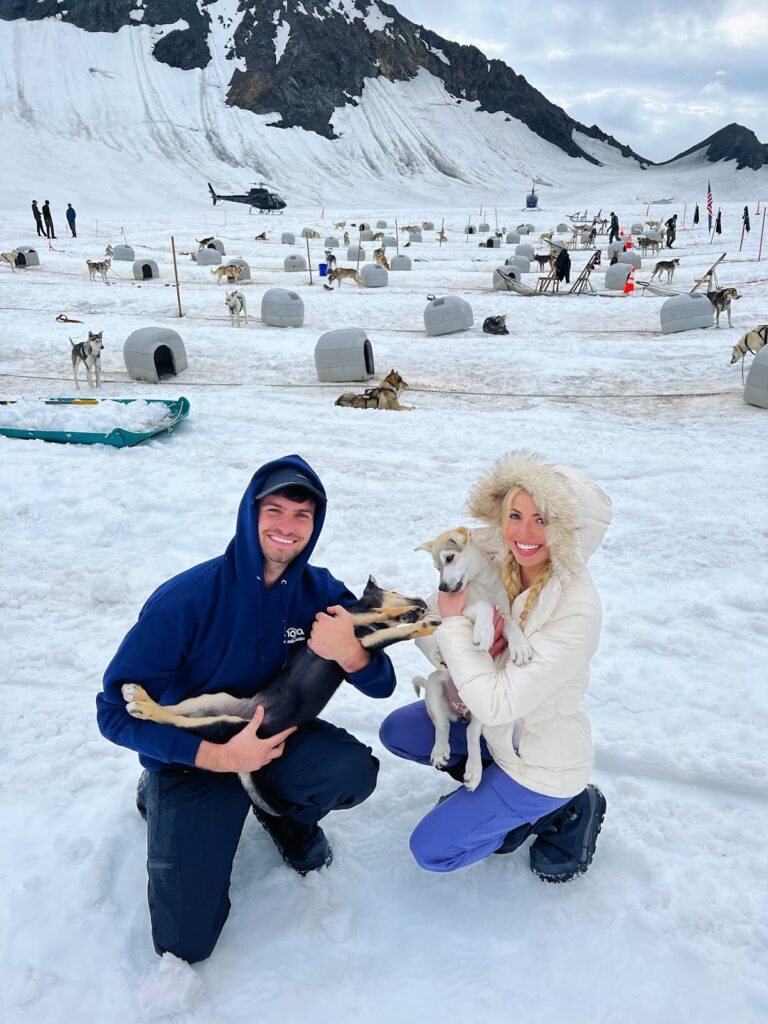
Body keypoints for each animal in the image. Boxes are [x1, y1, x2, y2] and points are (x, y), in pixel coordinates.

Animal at [124, 581, 438, 811]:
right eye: (394, 591)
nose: (421, 602)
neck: (359, 626)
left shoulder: (366, 644)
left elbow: (391, 632)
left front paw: (416, 619)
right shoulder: (348, 620)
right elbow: (382, 619)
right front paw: (411, 616)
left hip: (213, 702)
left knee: (178, 713)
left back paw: (139, 700)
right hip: (230, 723)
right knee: (178, 721)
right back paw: (141, 702)